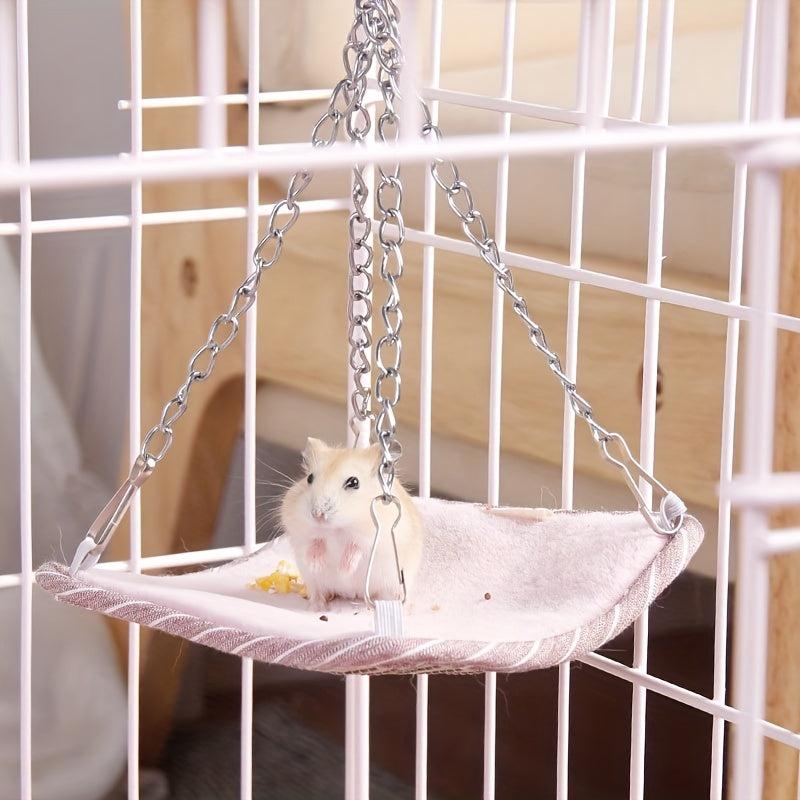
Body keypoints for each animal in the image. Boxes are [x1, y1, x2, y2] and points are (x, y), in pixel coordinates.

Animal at [281, 437, 424, 611]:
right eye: (309, 478)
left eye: (354, 482)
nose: (317, 515)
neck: (336, 529)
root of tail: (352, 594)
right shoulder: (300, 529)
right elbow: (315, 542)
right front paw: (316, 564)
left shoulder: (374, 536)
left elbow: (355, 547)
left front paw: (344, 570)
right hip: (313, 582)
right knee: (319, 593)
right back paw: (317, 608)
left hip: (395, 585)